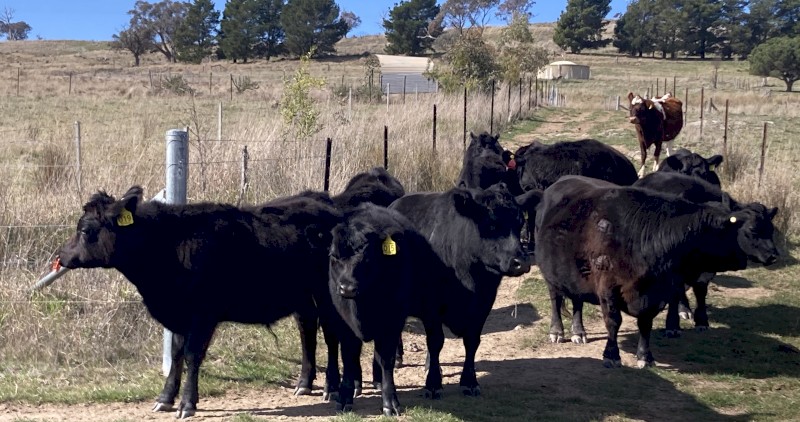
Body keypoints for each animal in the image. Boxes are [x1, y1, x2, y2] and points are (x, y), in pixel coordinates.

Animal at [55, 186, 342, 418]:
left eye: (85, 230)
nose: (60, 255)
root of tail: (320, 199)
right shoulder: (180, 315)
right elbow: (176, 354)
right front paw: (165, 398)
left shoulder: (203, 314)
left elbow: (193, 355)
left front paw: (187, 404)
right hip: (302, 297)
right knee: (307, 330)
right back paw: (304, 383)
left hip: (327, 294)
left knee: (331, 334)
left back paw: (332, 387)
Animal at [328, 203, 450, 415]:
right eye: (334, 256)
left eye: (366, 258)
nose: (347, 288)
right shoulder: (343, 323)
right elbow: (349, 357)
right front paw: (344, 396)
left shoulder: (392, 322)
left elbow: (386, 359)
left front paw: (390, 402)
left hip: (429, 307)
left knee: (435, 342)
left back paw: (433, 385)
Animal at [389, 182, 535, 395]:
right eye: (491, 224)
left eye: (519, 224)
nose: (521, 263)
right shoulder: (432, 305)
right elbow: (436, 341)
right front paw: (433, 384)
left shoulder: (483, 304)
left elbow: (472, 341)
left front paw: (469, 381)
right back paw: (398, 359)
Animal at [634, 171, 779, 333]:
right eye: (752, 229)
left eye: (771, 229)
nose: (773, 256)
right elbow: (676, 291)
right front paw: (673, 324)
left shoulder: (707, 270)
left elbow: (700, 289)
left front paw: (702, 320)